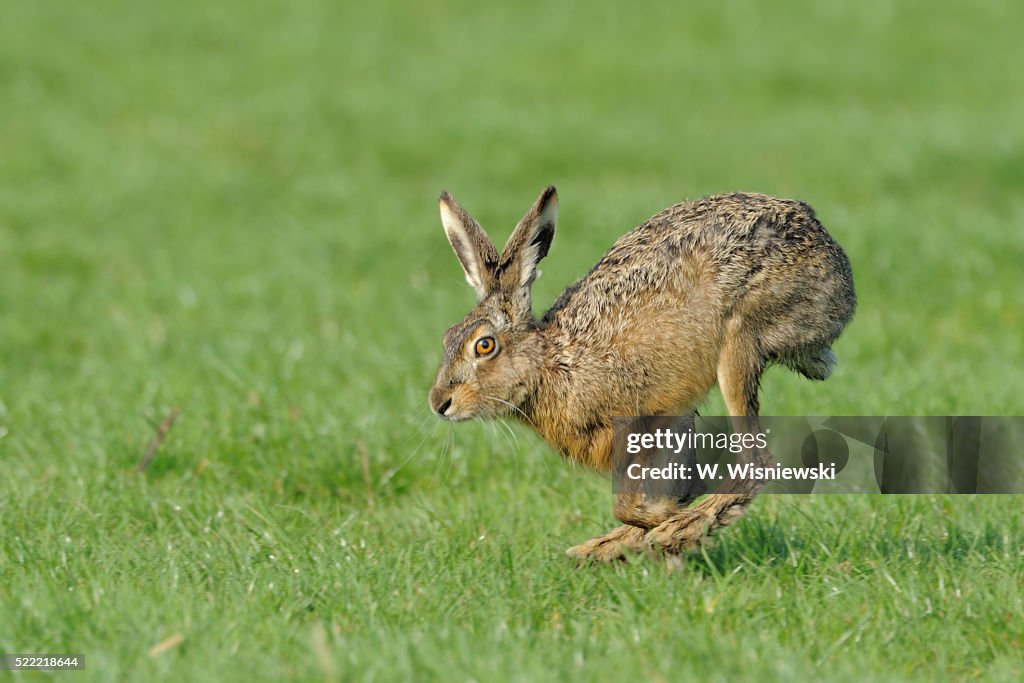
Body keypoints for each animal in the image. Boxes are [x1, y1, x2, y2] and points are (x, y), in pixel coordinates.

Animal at [428, 186, 855, 561]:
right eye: (447, 336)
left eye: (485, 346)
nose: (439, 403)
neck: (551, 362)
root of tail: (834, 260)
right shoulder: (675, 420)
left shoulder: (643, 419)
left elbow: (628, 504)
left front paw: (669, 521)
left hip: (739, 337)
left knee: (755, 462)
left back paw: (673, 530)